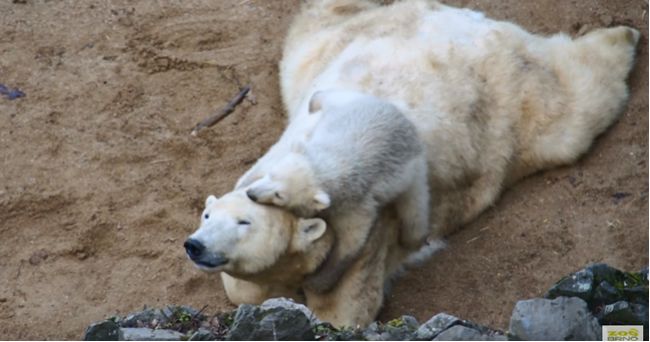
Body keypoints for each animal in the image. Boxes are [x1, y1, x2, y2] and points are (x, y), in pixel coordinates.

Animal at [220, 0, 636, 326]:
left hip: (523, 104)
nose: (203, 247)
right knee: (315, 27)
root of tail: (467, 21)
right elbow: (246, 288)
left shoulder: (365, 240)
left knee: (577, 103)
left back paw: (624, 36)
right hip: (325, 52)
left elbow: (344, 310)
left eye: (246, 224)